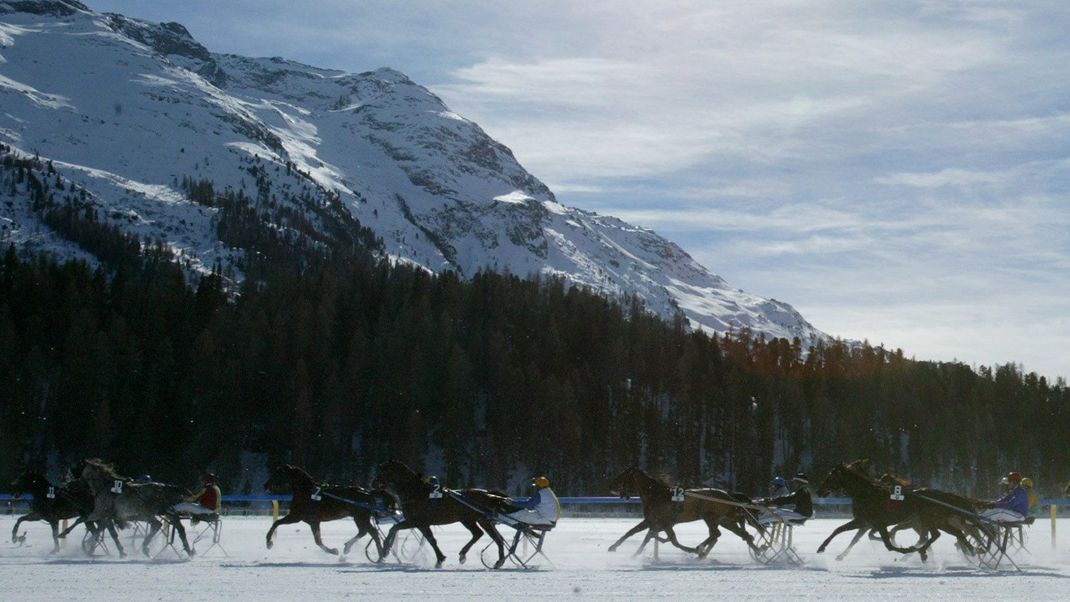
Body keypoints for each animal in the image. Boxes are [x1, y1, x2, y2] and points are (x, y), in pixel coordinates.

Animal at [263, 464, 393, 560]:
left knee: (370, 532)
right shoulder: (313, 522)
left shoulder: (296, 516)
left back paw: (378, 556)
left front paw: (269, 543)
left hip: (360, 517)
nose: (265, 485)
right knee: (367, 532)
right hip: (360, 518)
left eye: (278, 474)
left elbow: (276, 523)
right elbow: (318, 540)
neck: (306, 492)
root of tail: (368, 493)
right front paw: (333, 551)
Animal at [372, 461, 513, 568]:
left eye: (384, 471)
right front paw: (440, 559)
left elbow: (394, 528)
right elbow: (431, 539)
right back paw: (482, 558)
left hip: (475, 519)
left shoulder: (416, 521)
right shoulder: (422, 524)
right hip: (475, 519)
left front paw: (384, 551)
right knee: (486, 536)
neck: (416, 493)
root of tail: (488, 494)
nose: (373, 483)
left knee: (489, 536)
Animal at [607, 466, 766, 560]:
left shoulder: (665, 523)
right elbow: (633, 532)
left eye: (622, 476)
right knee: (744, 535)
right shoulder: (652, 521)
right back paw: (758, 551)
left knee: (715, 535)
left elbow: (673, 541)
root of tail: (729, 496)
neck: (655, 495)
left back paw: (700, 549)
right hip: (726, 521)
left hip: (710, 517)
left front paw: (693, 550)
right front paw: (618, 549)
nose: (610, 485)